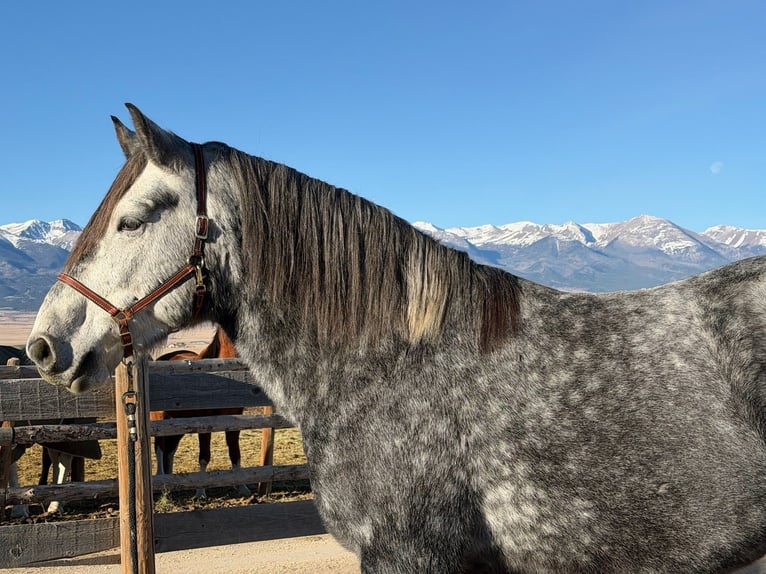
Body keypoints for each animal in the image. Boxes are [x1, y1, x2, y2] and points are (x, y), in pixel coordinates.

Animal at [152, 326, 251, 497]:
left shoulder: (235, 419)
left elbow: (235, 453)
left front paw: (242, 487)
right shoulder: (205, 423)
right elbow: (204, 456)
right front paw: (200, 492)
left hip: (178, 424)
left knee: (170, 451)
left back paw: (170, 481)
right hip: (160, 419)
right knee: (160, 448)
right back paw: (162, 480)